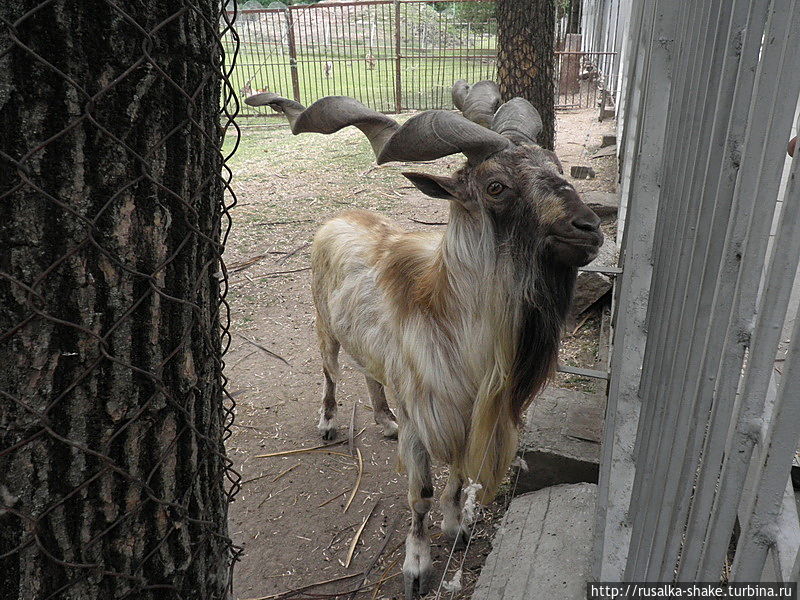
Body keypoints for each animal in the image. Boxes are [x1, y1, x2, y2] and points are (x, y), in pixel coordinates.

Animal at [244, 83, 600, 596]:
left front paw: (457, 527)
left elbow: (456, 478)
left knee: (369, 375)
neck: (458, 329)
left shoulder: (466, 418)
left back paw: (383, 418)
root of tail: (338, 217)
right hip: (324, 326)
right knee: (330, 375)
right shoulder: (422, 420)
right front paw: (416, 567)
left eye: (556, 167)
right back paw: (328, 424)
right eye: (496, 186)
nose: (589, 228)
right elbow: (422, 493)